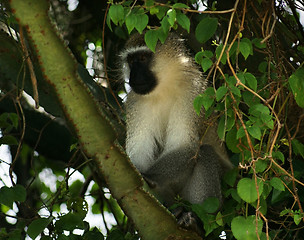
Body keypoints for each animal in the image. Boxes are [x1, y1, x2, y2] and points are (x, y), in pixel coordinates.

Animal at [120, 32, 232, 224]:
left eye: (143, 58)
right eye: (131, 60)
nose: (133, 77)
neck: (164, 87)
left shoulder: (193, 93)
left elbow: (184, 145)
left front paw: (149, 176)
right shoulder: (136, 101)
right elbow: (139, 151)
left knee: (204, 152)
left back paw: (195, 219)